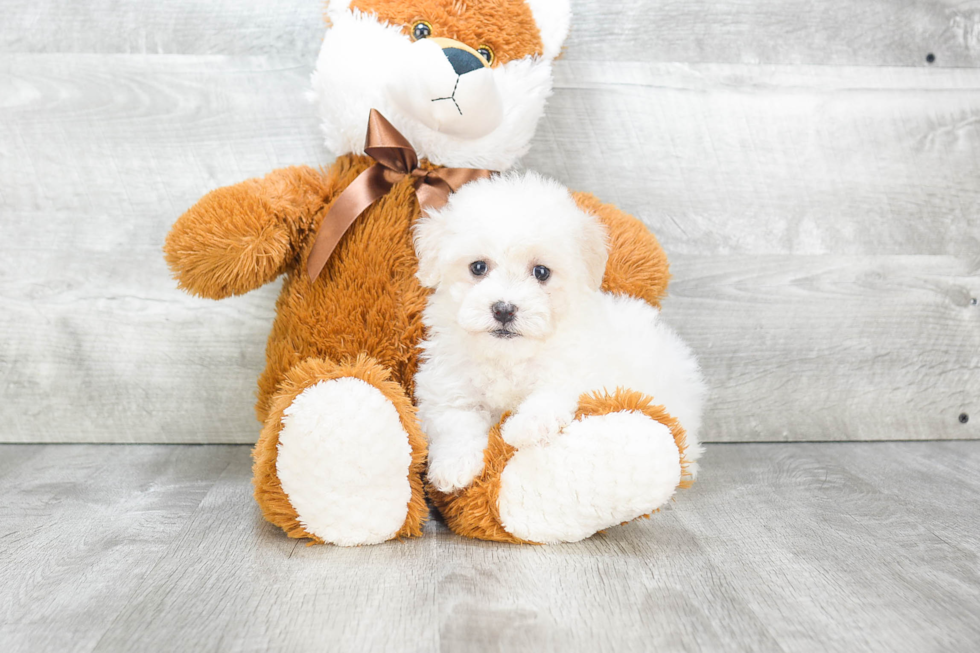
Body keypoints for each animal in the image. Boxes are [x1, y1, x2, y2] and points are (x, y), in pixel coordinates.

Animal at [412, 171, 704, 492]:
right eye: (478, 267)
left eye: (541, 272)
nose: (504, 309)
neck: (507, 358)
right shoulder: (446, 386)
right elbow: (455, 421)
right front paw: (453, 467)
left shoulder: (575, 369)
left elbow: (551, 393)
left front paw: (524, 427)